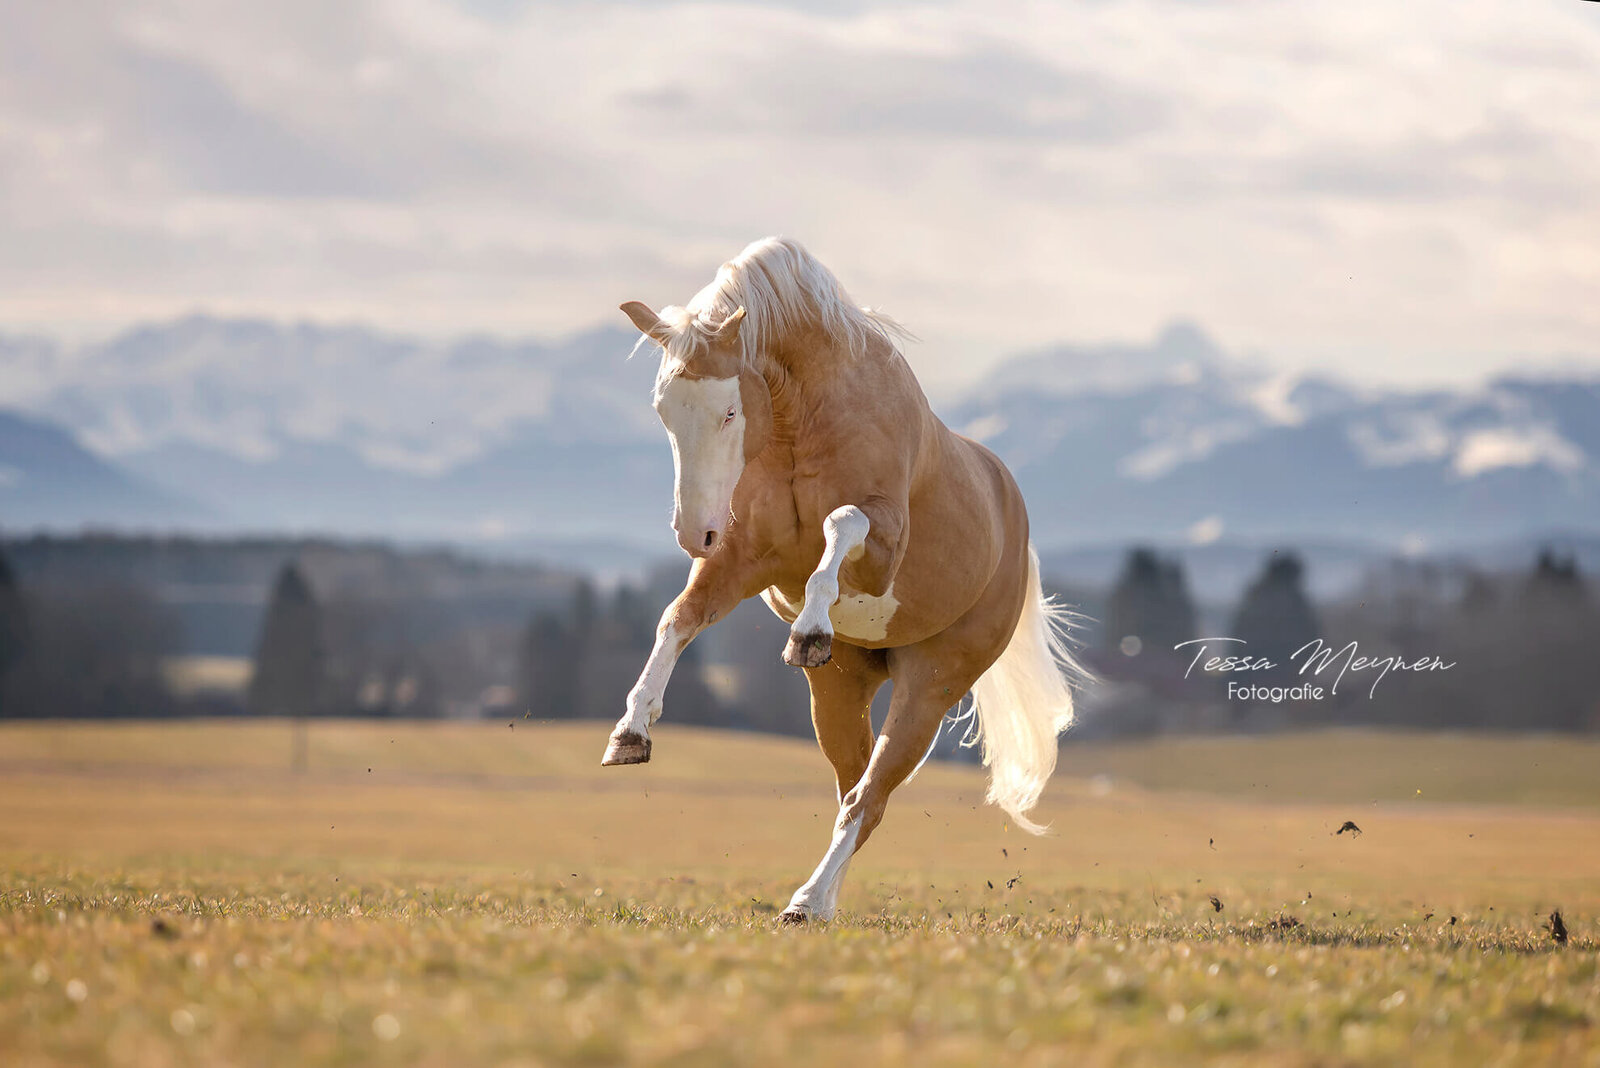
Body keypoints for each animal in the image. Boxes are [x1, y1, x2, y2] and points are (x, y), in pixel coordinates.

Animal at [604, 238, 1081, 920]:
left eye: (729, 411)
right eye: (664, 412)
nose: (693, 532)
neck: (803, 419)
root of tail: (1015, 530)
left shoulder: (879, 551)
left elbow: (840, 523)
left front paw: (808, 629)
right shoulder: (741, 559)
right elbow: (680, 618)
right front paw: (630, 732)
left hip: (929, 689)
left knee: (869, 796)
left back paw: (805, 901)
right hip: (838, 689)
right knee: (854, 789)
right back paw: (820, 901)